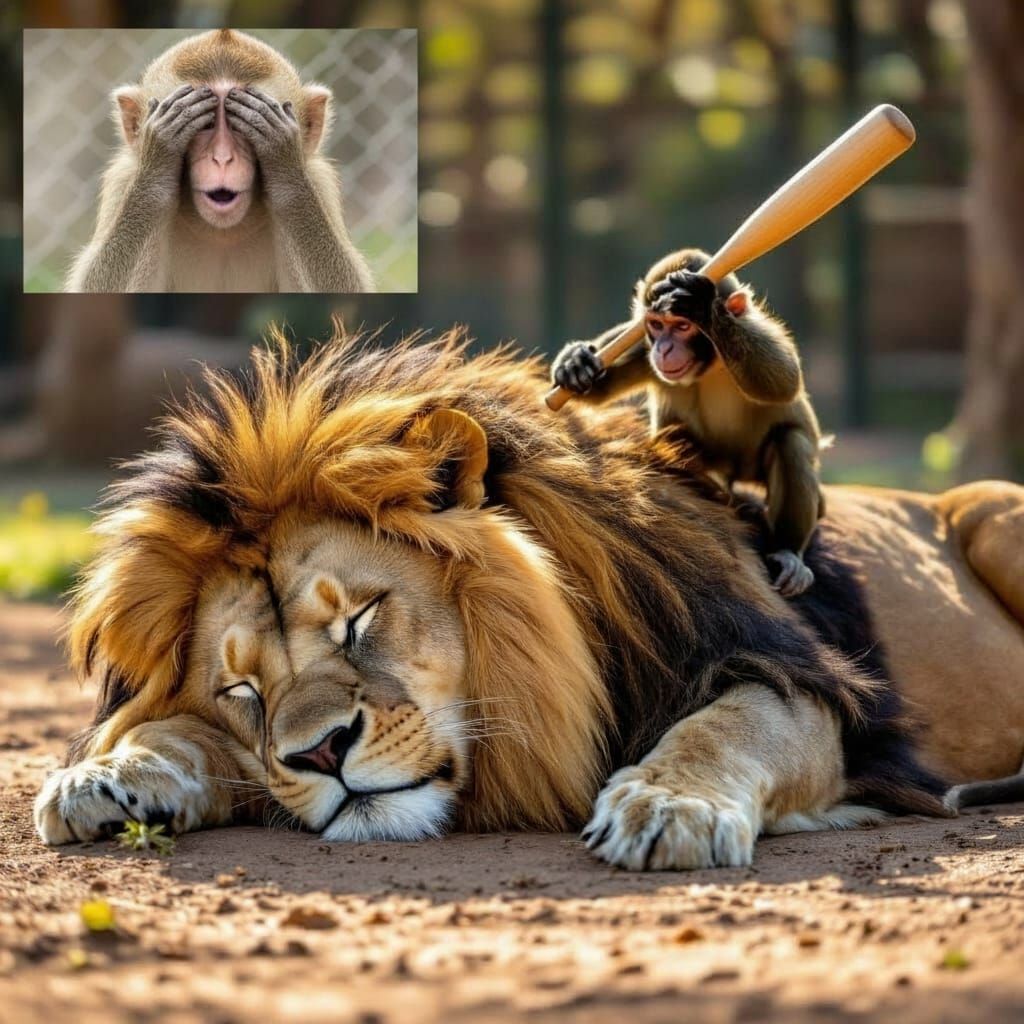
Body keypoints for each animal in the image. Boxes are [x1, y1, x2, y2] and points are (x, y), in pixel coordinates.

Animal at [35, 330, 1024, 869]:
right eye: (243, 690)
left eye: (359, 618)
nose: (320, 754)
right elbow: (175, 732)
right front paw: (106, 775)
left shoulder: (794, 680)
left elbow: (727, 726)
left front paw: (666, 805)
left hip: (994, 515)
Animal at [65, 29, 373, 294]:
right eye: (206, 124)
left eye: (239, 126)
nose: (223, 158)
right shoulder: (123, 180)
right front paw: (158, 161)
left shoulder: (319, 181)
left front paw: (285, 166)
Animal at [552, 248, 824, 597]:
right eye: (656, 325)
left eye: (682, 326)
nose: (664, 349)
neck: (713, 363)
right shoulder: (642, 347)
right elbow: (599, 388)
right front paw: (575, 360)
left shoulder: (754, 327)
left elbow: (783, 381)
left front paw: (702, 305)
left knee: (791, 442)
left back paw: (788, 549)